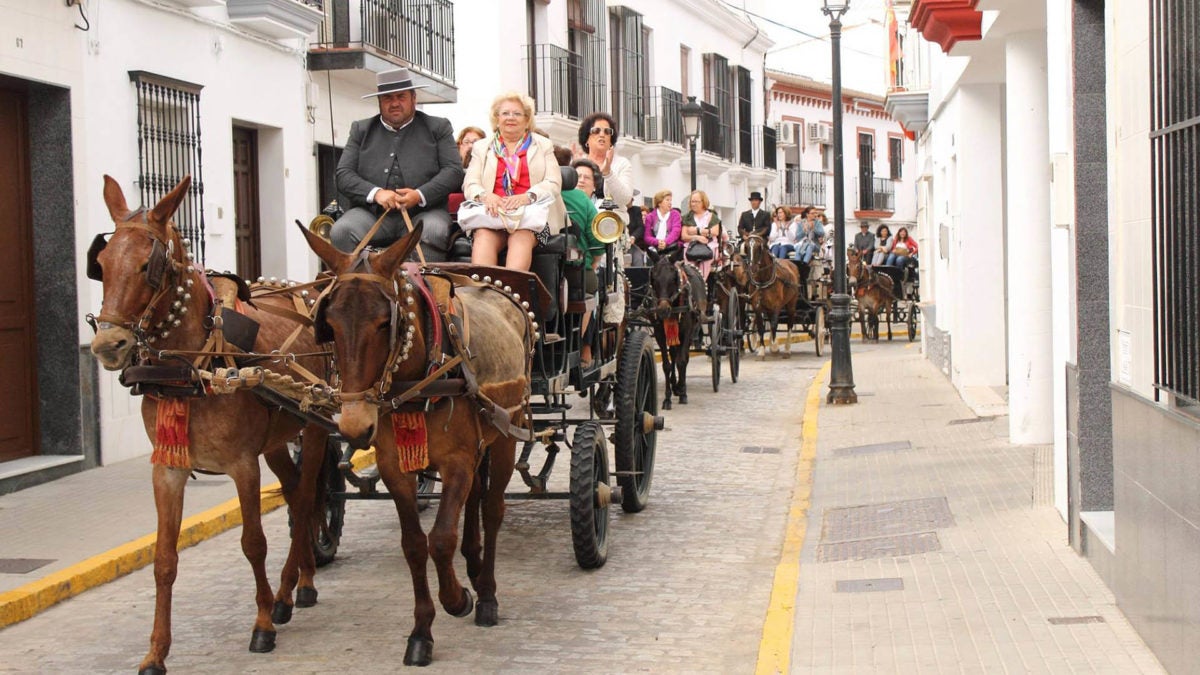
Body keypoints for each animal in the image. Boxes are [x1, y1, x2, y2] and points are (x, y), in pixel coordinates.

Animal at [85, 174, 331, 672]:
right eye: (99, 264)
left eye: (148, 265)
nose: (108, 345)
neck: (191, 366)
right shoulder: (168, 467)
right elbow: (163, 559)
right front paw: (156, 652)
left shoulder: (242, 465)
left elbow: (253, 541)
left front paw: (262, 624)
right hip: (276, 440)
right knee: (295, 492)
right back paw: (299, 585)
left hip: (313, 428)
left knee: (305, 499)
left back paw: (287, 592)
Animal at [297, 223, 532, 662]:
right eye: (328, 325)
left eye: (383, 323)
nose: (354, 425)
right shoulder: (396, 468)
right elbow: (413, 544)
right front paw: (422, 631)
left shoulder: (456, 461)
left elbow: (440, 539)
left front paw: (459, 599)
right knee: (476, 498)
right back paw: (473, 563)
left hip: (508, 431)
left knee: (492, 509)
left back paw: (487, 593)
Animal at [648, 246, 700, 408]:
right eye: (654, 279)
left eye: (673, 279)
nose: (663, 310)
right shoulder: (660, 333)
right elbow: (667, 364)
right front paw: (667, 398)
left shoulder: (687, 330)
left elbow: (681, 361)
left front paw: (683, 394)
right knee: (673, 354)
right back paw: (675, 385)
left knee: (683, 357)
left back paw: (680, 387)